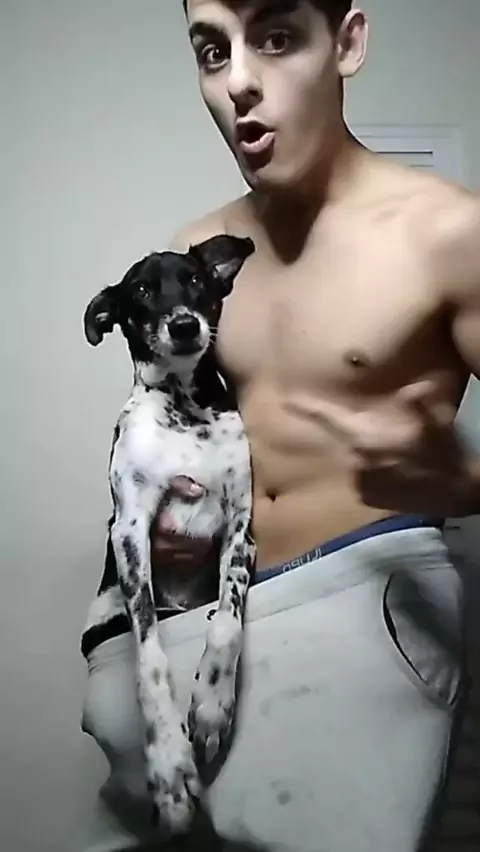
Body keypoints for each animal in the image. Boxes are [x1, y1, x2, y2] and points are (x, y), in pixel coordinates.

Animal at [81, 234, 256, 834]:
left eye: (197, 280)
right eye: (139, 291)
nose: (183, 325)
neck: (184, 408)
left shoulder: (241, 528)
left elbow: (226, 620)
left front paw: (212, 703)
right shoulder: (130, 529)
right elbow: (150, 658)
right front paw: (169, 768)